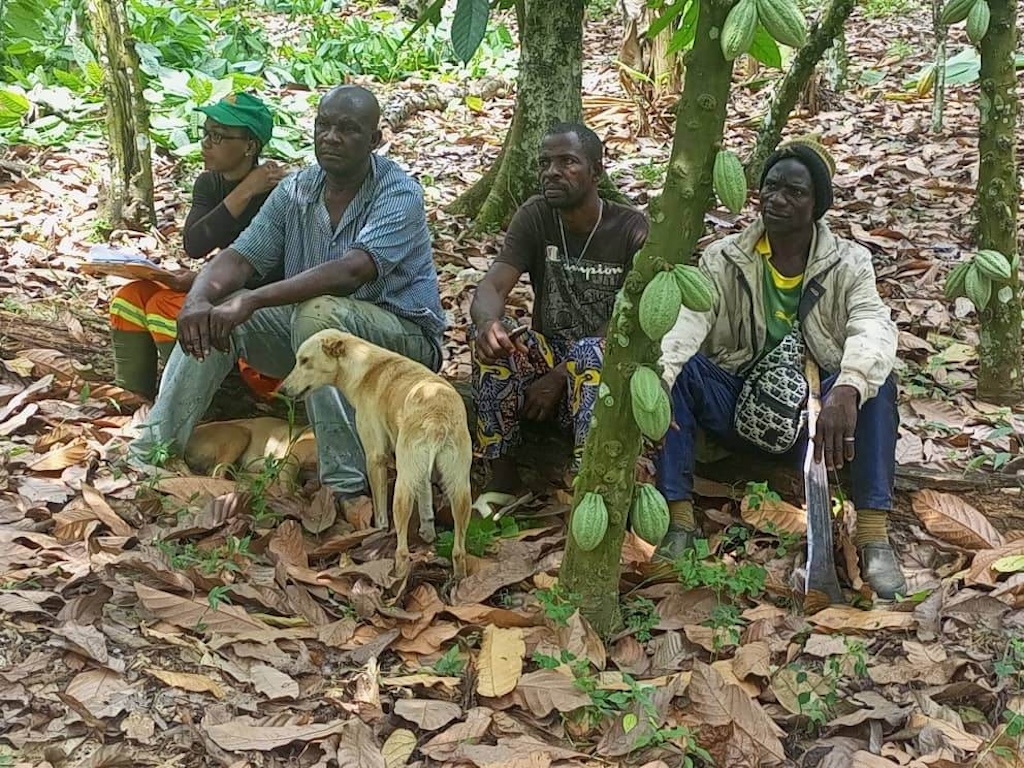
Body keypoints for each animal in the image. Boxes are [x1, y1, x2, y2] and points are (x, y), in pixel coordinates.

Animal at [280, 327, 471, 581]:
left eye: (305, 361)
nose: (282, 389)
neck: (365, 367)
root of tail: (437, 417)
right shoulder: (419, 470)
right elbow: (426, 502)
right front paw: (428, 532)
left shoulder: (375, 457)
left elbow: (380, 514)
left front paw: (376, 534)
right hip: (459, 487)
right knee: (459, 550)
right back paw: (460, 578)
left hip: (402, 487)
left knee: (402, 549)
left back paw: (398, 574)